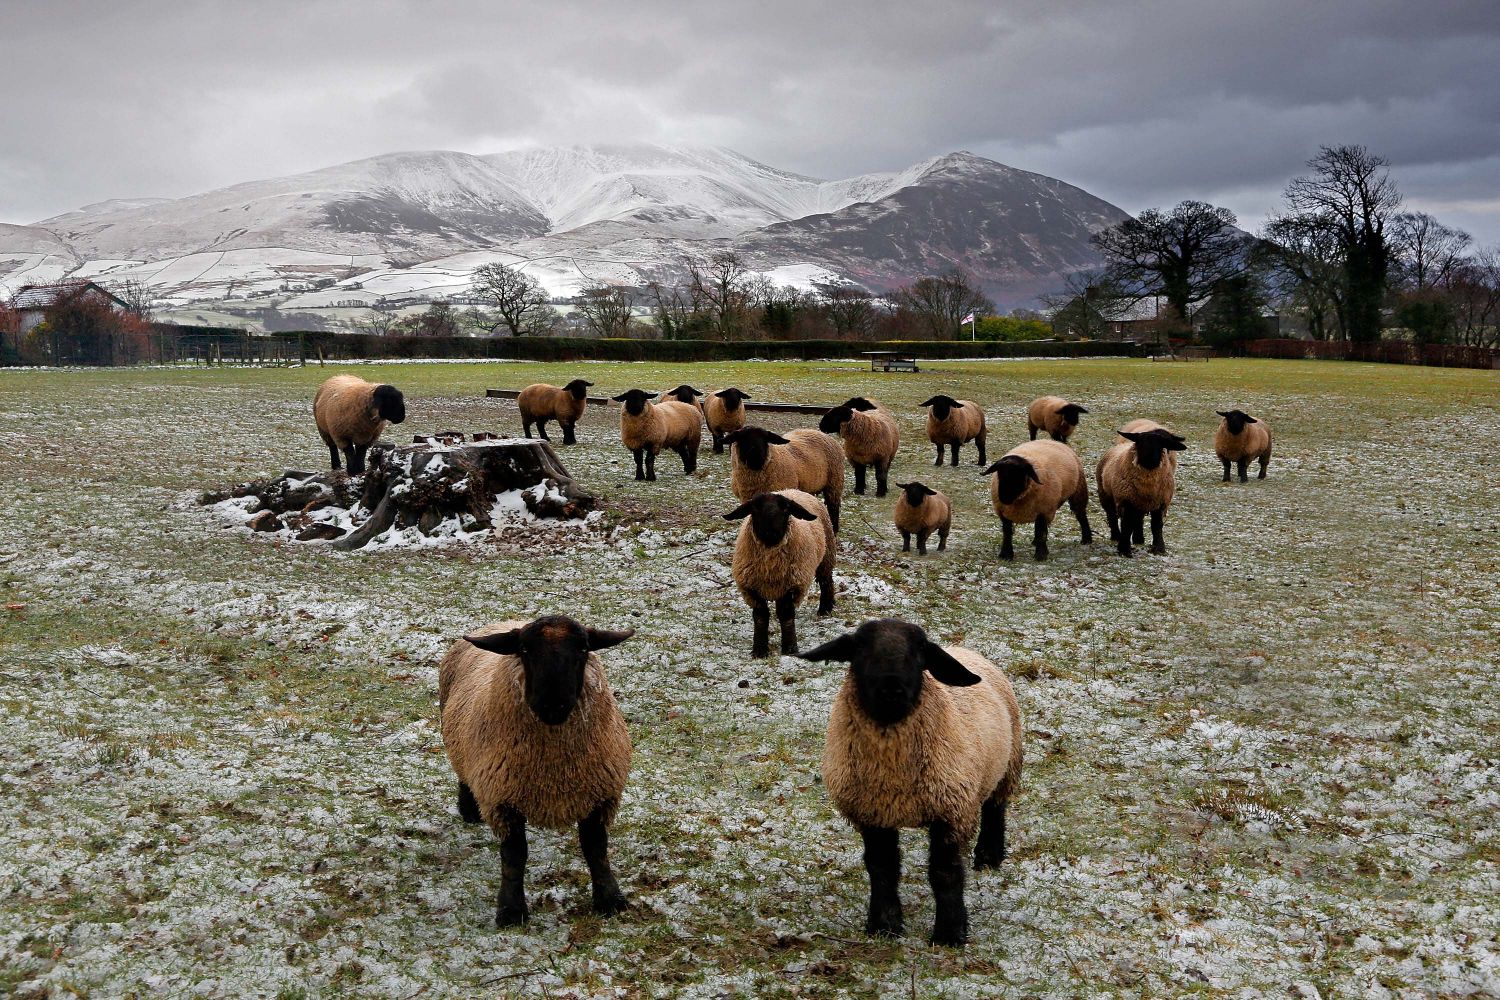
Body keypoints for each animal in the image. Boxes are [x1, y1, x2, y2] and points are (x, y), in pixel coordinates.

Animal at [438, 617, 639, 929]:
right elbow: (514, 856)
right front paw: (511, 910)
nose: (552, 704)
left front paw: (610, 899)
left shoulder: (599, 794)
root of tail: (508, 620)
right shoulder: (502, 799)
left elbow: (596, 849)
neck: (553, 770)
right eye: (524, 649)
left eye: (583, 648)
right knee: (462, 771)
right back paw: (469, 810)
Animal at [723, 491, 840, 656]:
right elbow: (761, 617)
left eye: (786, 509)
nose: (771, 533)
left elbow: (786, 615)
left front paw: (790, 648)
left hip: (826, 555)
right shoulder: (751, 588)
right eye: (755, 508)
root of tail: (790, 489)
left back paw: (825, 609)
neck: (770, 566)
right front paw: (759, 650)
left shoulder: (791, 585)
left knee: (826, 581)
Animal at [804, 617, 1026, 947]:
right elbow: (881, 868)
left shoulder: (952, 810)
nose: (891, 690)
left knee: (995, 807)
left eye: (920, 650)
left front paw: (949, 933)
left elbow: (945, 873)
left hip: (1006, 763)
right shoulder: (873, 813)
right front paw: (884, 926)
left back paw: (989, 856)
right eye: (859, 647)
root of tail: (961, 648)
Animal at [1098, 425, 1188, 560]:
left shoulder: (1160, 503)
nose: (1149, 458)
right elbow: (1127, 525)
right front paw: (1124, 550)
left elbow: (1156, 526)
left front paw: (1159, 548)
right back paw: (1116, 536)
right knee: (1112, 516)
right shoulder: (1127, 501)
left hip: (1139, 503)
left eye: (1161, 444)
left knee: (1138, 520)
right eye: (1140, 442)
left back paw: (1138, 539)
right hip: (1106, 495)